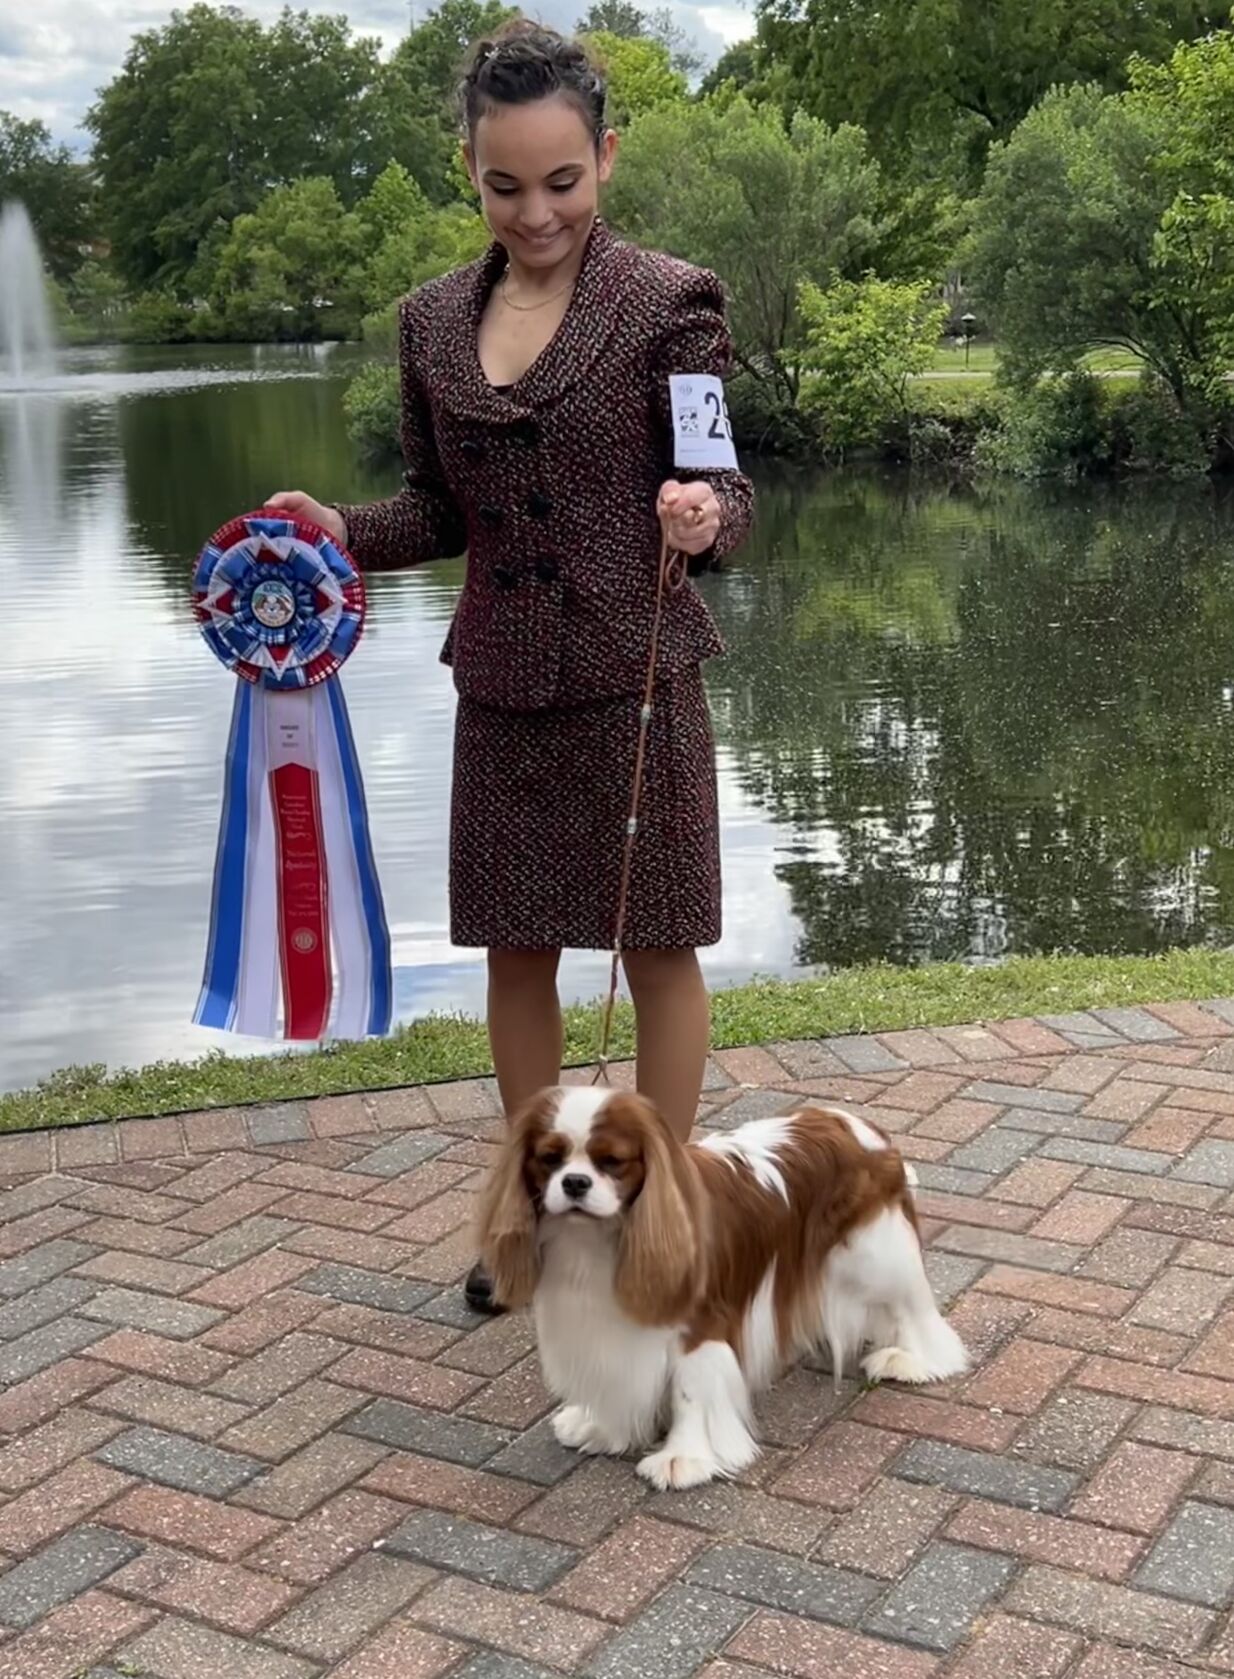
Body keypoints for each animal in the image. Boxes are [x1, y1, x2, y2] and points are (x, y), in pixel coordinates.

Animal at [476, 1081, 967, 1490]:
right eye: (549, 1158)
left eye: (612, 1162)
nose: (575, 1182)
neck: (598, 1239)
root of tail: (858, 1125)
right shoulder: (604, 1329)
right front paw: (603, 1427)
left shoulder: (701, 1327)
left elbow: (690, 1392)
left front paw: (684, 1458)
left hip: (873, 1253)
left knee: (910, 1307)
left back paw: (913, 1359)